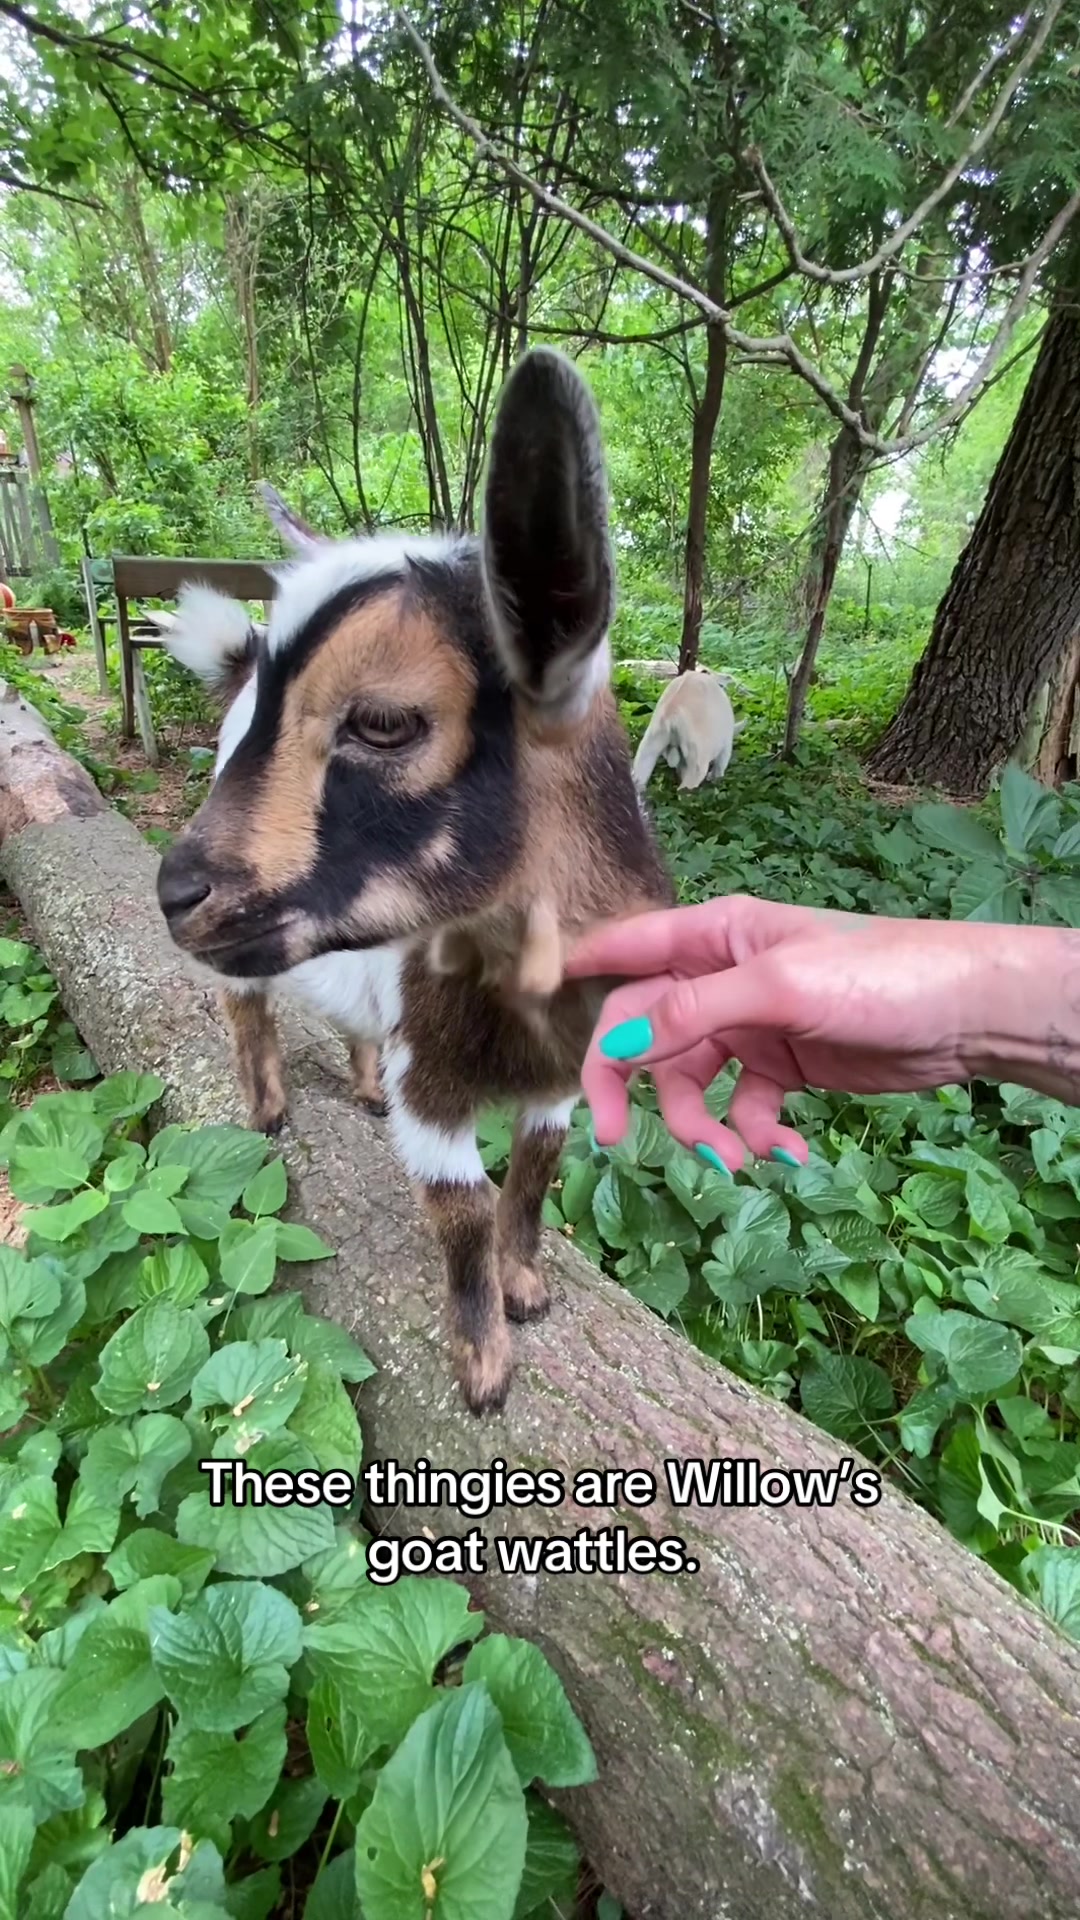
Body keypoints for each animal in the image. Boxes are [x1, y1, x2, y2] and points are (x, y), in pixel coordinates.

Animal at [155, 348, 672, 1414]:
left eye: (384, 722)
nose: (175, 893)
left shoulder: (561, 1079)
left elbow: (535, 1175)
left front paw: (528, 1290)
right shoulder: (433, 1087)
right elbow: (463, 1208)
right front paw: (483, 1371)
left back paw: (357, 1089)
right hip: (249, 962)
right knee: (245, 1005)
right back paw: (267, 1110)